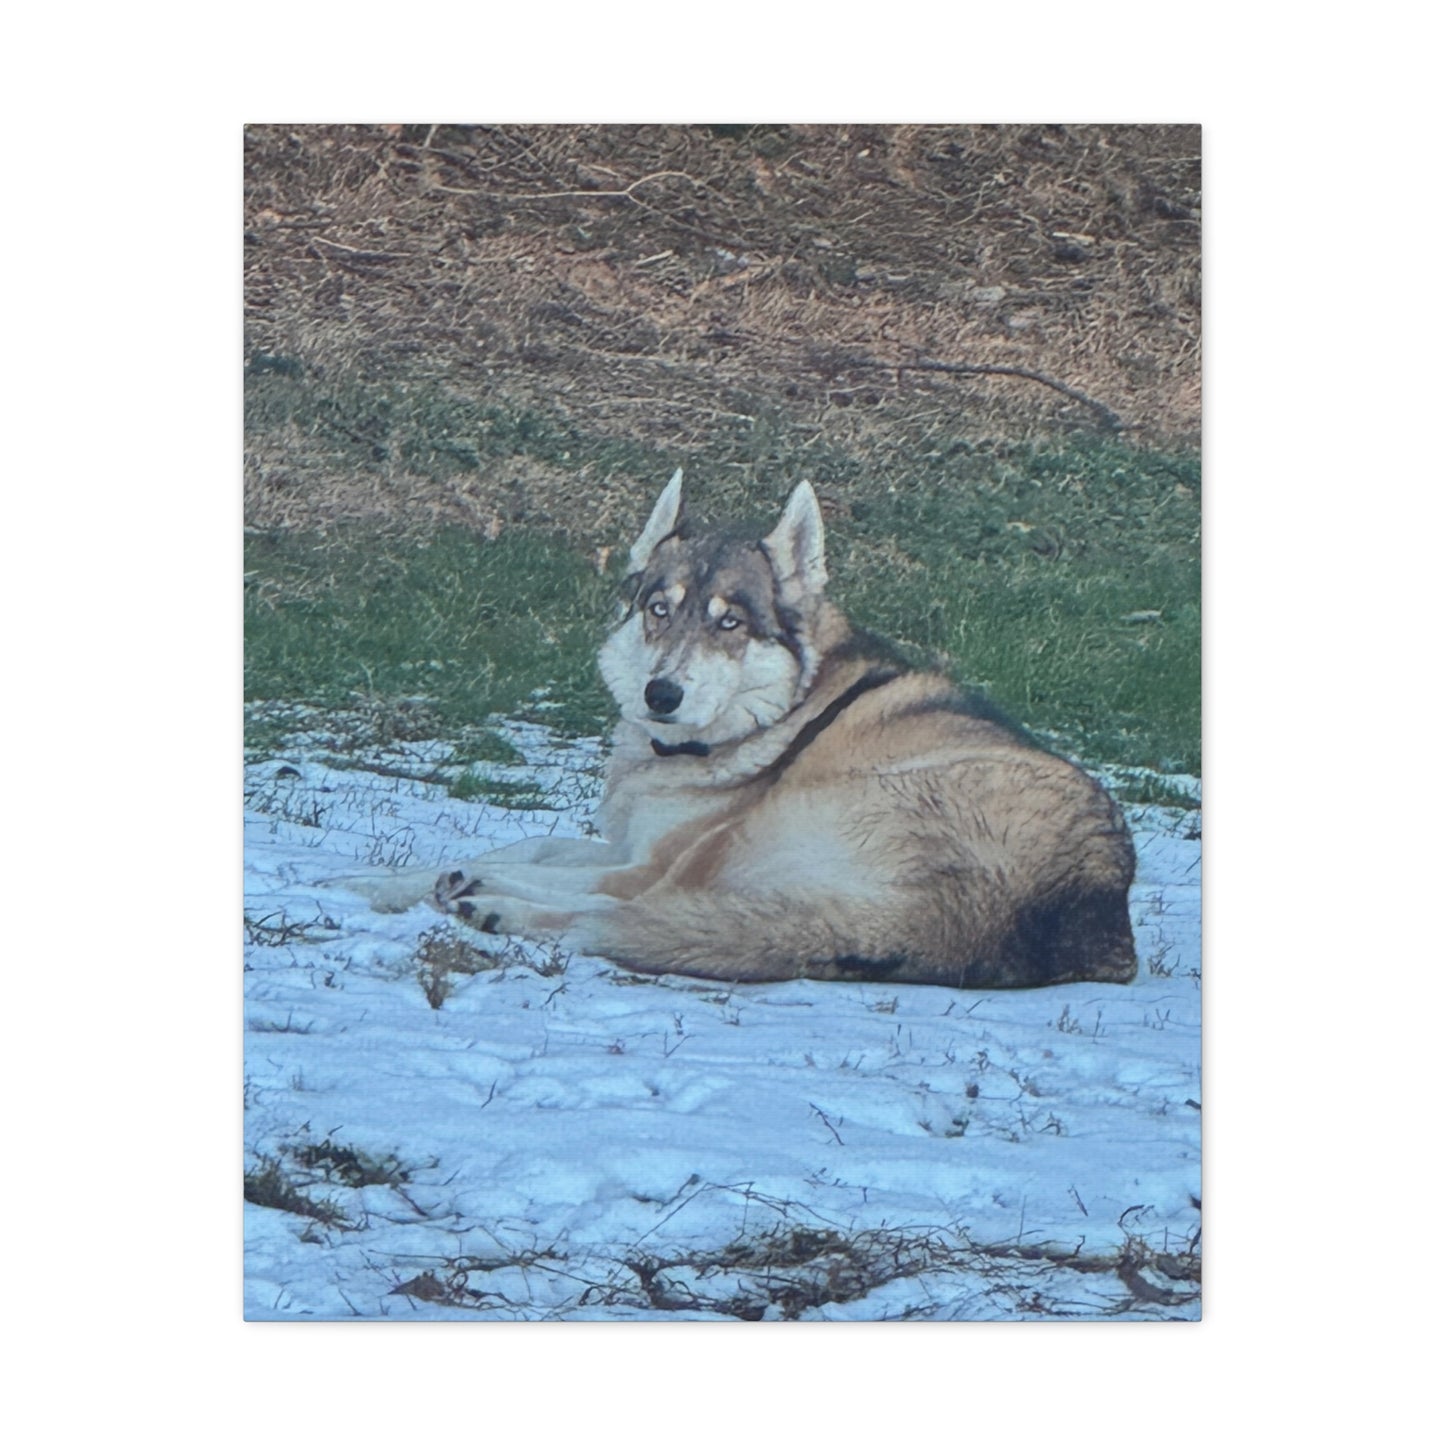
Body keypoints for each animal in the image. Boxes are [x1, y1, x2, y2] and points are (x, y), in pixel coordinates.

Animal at [344, 470, 1137, 989]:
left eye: (729, 623)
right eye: (659, 609)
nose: (660, 693)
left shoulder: (652, 858)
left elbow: (536, 863)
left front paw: (448, 878)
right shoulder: (632, 841)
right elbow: (528, 842)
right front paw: (362, 880)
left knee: (625, 909)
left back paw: (492, 904)